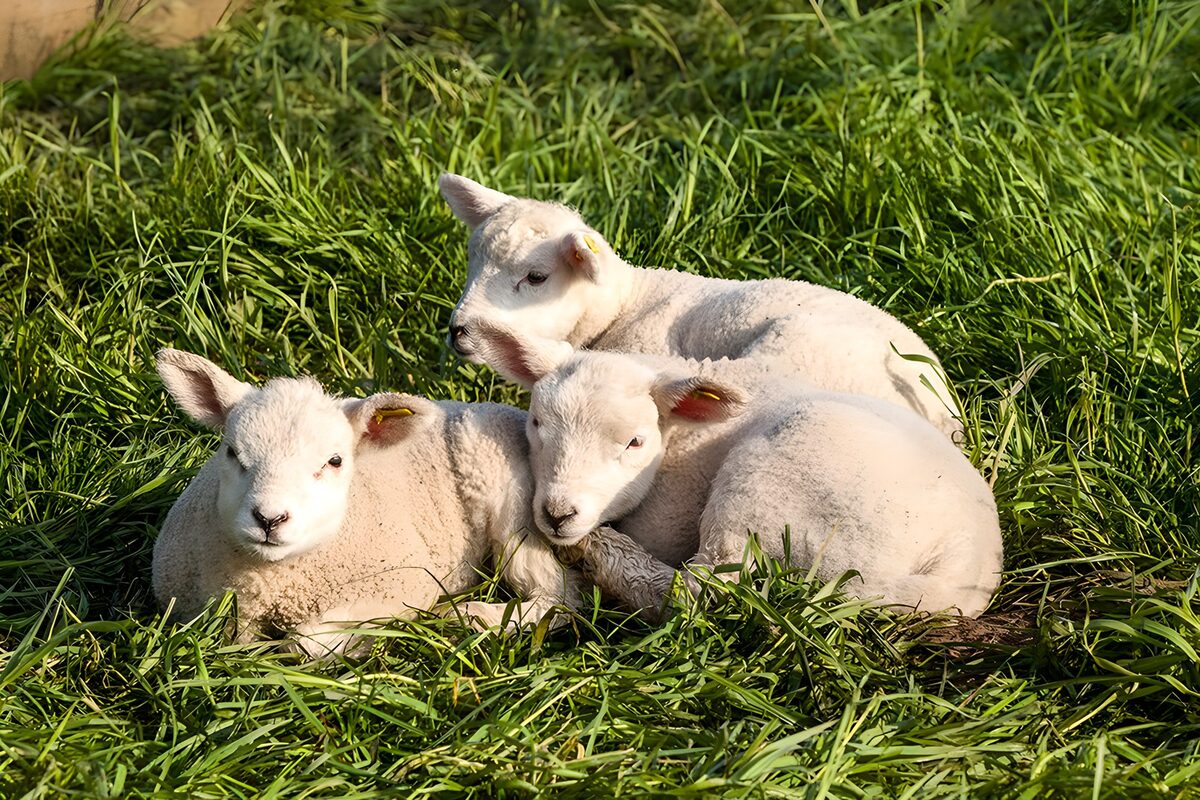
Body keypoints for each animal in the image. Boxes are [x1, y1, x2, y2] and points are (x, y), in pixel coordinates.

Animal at [152, 349, 580, 656]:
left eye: (334, 461)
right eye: (231, 452)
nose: (269, 518)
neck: (277, 583)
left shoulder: (402, 583)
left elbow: (306, 642)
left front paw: (360, 643)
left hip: (514, 507)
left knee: (559, 596)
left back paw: (471, 617)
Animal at [478, 329, 1003, 623]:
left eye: (634, 443)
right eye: (536, 424)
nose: (557, 514)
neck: (684, 436)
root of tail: (966, 566)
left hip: (768, 488)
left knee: (701, 593)